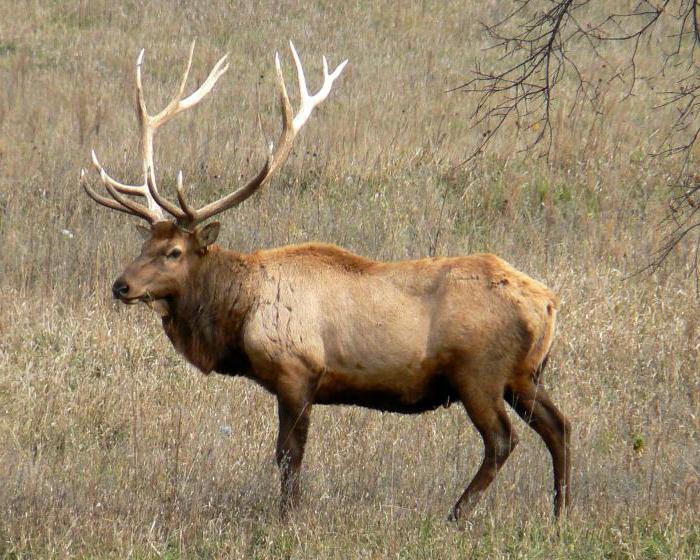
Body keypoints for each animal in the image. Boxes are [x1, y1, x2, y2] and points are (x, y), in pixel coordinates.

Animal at [82, 41, 572, 524]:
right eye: (144, 242)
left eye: (174, 252)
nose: (121, 286)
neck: (238, 315)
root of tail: (548, 303)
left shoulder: (297, 371)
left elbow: (288, 455)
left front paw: (287, 518)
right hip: (523, 374)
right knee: (560, 425)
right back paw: (560, 512)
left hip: (479, 372)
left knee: (503, 439)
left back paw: (456, 514)